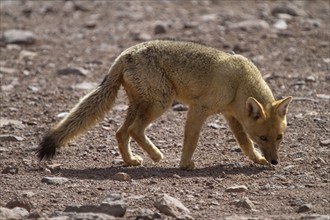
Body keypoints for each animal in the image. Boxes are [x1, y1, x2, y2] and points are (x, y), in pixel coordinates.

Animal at [37, 40, 292, 170]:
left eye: (279, 138)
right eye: (263, 138)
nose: (275, 161)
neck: (240, 81)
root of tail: (124, 54)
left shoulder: (230, 115)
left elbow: (244, 142)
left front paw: (257, 160)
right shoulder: (199, 109)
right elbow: (191, 140)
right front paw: (185, 165)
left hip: (141, 105)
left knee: (121, 132)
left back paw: (131, 161)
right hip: (161, 103)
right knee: (133, 130)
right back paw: (157, 156)